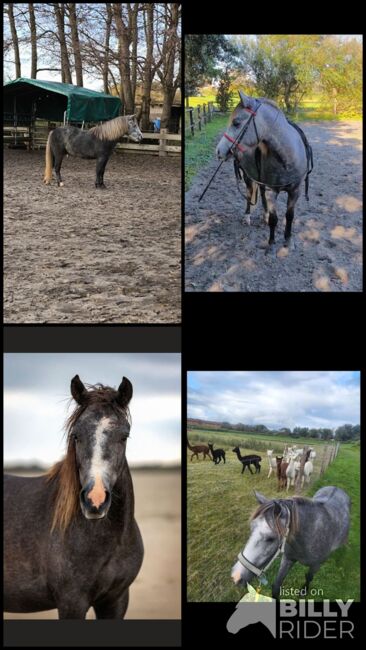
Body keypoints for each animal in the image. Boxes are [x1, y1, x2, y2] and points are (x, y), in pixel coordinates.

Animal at [216, 91, 314, 253]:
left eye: (236, 123)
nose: (219, 151)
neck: (287, 157)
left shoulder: (295, 190)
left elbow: (289, 216)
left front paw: (288, 240)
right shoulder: (271, 191)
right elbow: (274, 219)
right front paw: (271, 243)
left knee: (260, 195)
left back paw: (264, 215)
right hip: (249, 179)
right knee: (249, 195)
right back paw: (247, 217)